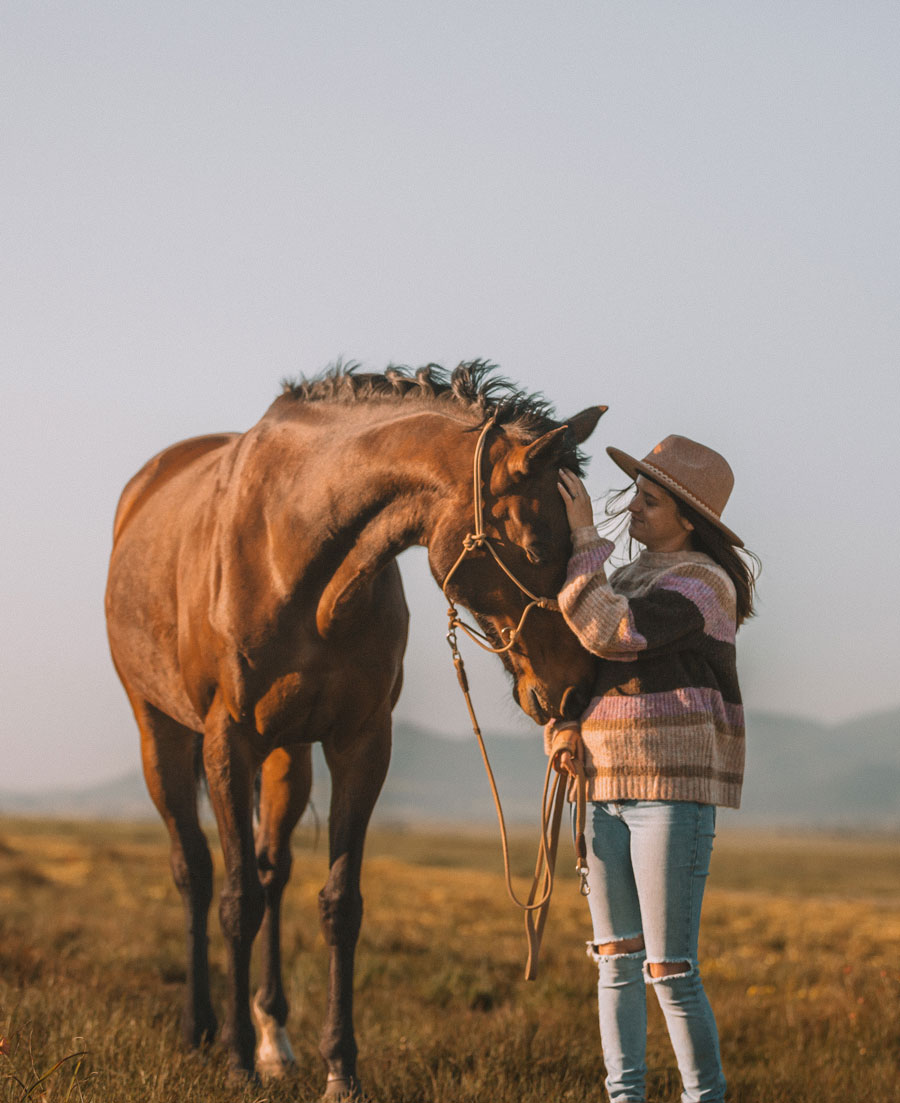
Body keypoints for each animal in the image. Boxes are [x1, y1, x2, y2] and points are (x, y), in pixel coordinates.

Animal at [104, 361, 604, 1096]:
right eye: (540, 542)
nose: (578, 687)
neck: (294, 550)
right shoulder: (228, 741)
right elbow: (234, 899)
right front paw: (234, 1059)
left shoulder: (361, 743)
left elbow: (339, 905)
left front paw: (339, 1068)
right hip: (162, 732)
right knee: (195, 869)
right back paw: (203, 1030)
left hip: (287, 752)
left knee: (273, 869)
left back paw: (274, 1037)